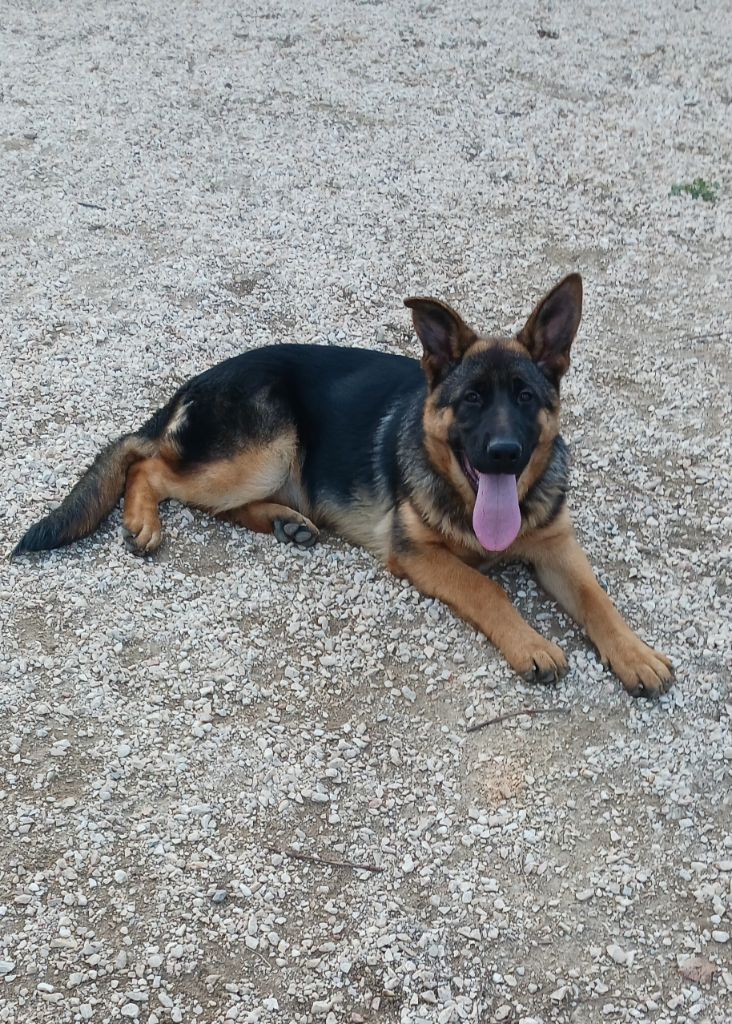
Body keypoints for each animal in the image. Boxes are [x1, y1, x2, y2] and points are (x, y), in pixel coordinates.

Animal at [13, 274, 673, 697]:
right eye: (472, 401)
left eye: (527, 398)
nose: (504, 455)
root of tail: (199, 379)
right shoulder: (417, 554)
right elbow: (488, 590)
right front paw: (532, 643)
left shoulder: (558, 547)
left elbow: (598, 600)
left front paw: (636, 654)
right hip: (260, 452)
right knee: (146, 465)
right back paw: (143, 521)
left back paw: (285, 523)